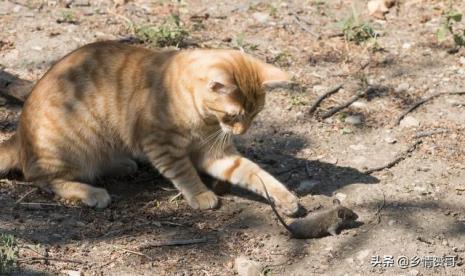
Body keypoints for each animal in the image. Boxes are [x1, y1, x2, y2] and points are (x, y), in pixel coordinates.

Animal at [0, 42, 298, 216]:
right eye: (234, 115)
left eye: (256, 113)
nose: (242, 132)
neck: (204, 120)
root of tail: (18, 137)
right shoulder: (162, 146)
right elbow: (185, 172)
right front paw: (201, 194)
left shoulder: (217, 153)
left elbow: (256, 173)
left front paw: (284, 197)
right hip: (72, 149)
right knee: (42, 178)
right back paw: (92, 192)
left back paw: (121, 165)